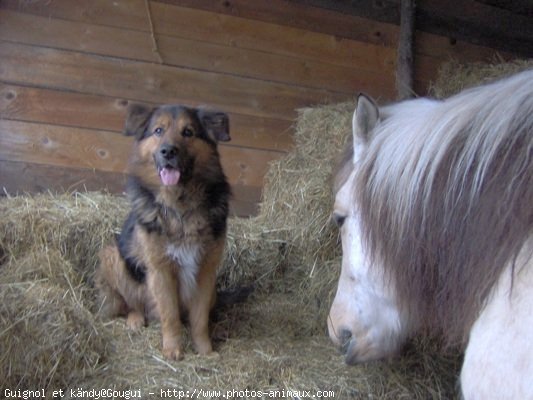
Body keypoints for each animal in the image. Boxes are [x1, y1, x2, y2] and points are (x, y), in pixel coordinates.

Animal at [95, 103, 231, 360]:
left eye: (188, 132)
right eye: (158, 130)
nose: (168, 152)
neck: (180, 207)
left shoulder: (206, 270)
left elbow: (200, 319)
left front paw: (205, 350)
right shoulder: (160, 270)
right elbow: (170, 315)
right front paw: (172, 349)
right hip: (112, 255)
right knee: (132, 304)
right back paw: (136, 319)